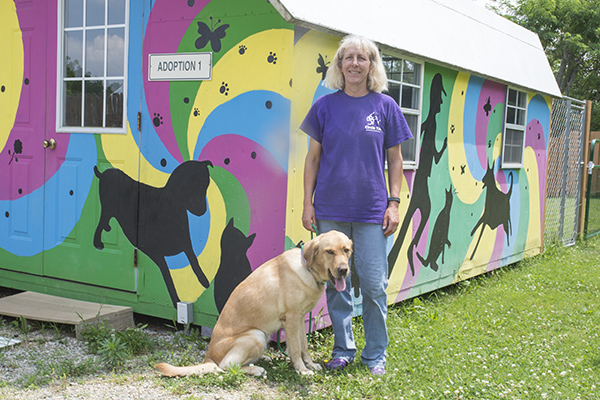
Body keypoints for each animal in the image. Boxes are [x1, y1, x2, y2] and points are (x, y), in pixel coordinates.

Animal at [156, 230, 352, 376]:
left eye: (346, 250)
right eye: (329, 251)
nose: (344, 270)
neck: (308, 269)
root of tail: (208, 357)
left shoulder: (300, 319)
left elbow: (304, 346)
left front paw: (310, 365)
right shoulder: (291, 319)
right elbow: (296, 349)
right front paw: (302, 370)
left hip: (262, 336)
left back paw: (261, 359)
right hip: (255, 335)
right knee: (225, 366)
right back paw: (256, 369)